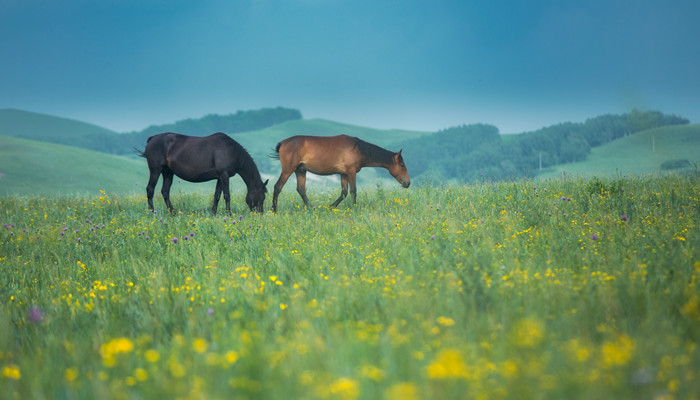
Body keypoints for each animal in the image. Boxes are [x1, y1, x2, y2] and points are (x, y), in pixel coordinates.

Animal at [139, 131, 268, 214]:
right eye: (262, 196)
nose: (260, 214)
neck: (232, 151)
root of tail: (152, 139)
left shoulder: (220, 177)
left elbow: (217, 195)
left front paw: (213, 213)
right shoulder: (224, 175)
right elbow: (227, 195)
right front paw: (229, 214)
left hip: (168, 172)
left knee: (165, 192)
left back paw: (173, 213)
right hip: (155, 170)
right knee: (150, 190)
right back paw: (152, 213)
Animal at [270, 134, 410, 211]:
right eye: (402, 165)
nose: (407, 183)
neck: (358, 148)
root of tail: (283, 143)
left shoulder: (343, 174)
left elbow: (344, 192)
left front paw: (330, 207)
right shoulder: (351, 172)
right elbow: (353, 191)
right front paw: (354, 208)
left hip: (300, 170)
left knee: (301, 190)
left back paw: (312, 208)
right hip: (288, 170)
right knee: (278, 187)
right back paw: (274, 210)